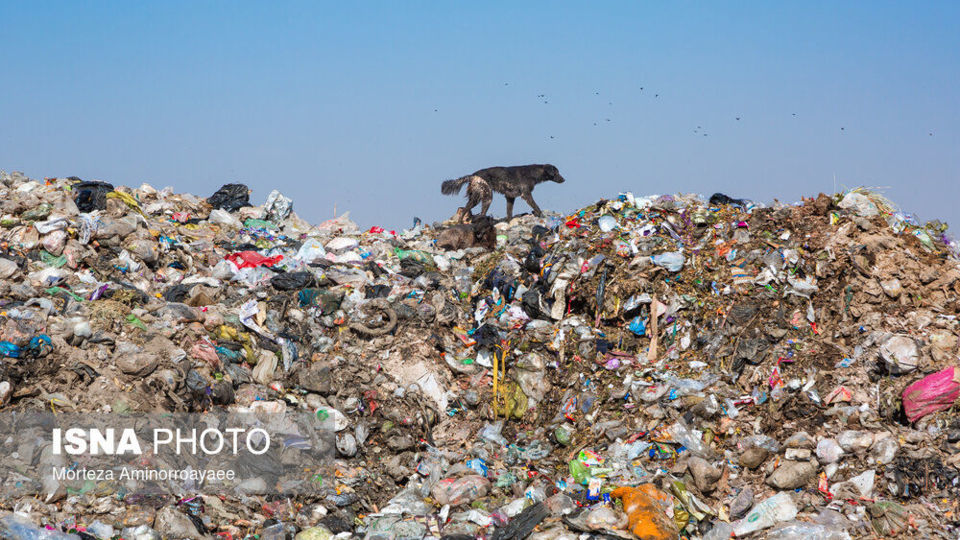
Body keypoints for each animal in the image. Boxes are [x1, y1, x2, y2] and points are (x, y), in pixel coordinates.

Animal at [440, 163, 568, 218]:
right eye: (557, 172)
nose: (564, 179)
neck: (532, 173)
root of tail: (472, 175)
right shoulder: (526, 194)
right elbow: (536, 206)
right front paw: (541, 215)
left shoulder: (510, 197)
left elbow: (509, 213)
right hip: (486, 197)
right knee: (477, 212)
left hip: (476, 197)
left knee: (465, 210)